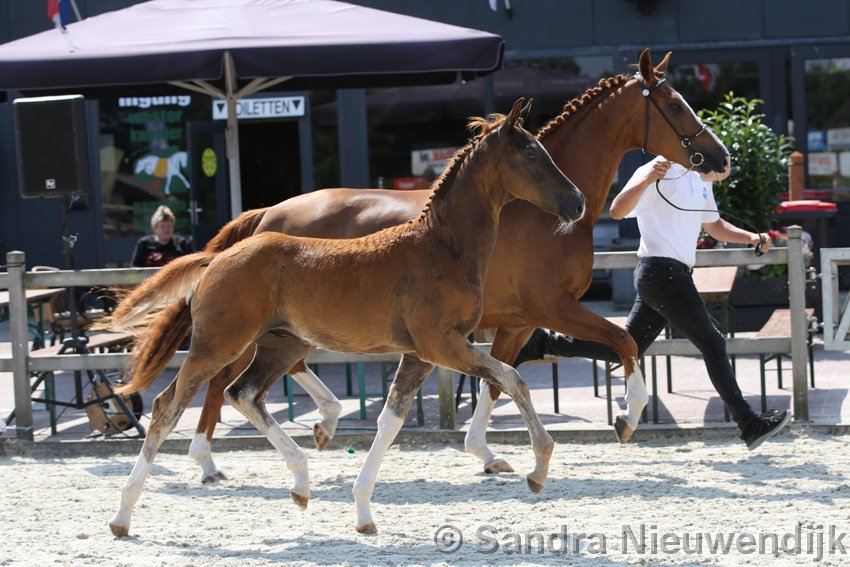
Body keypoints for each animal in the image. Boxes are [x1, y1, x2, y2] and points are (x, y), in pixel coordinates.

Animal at [106, 98, 586, 537]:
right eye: (531, 154)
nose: (578, 202)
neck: (441, 248)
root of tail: (216, 259)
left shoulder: (421, 354)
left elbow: (390, 421)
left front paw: (363, 512)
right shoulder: (443, 344)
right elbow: (512, 377)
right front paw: (539, 468)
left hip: (282, 344)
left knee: (243, 394)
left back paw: (301, 481)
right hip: (217, 344)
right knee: (170, 406)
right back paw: (122, 514)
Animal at [116, 49, 730, 483]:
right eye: (676, 104)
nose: (719, 158)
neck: (526, 213)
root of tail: (270, 213)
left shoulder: (516, 321)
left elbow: (500, 381)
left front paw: (487, 453)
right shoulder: (549, 307)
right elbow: (619, 343)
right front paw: (628, 416)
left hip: (286, 328)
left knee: (253, 377)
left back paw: (307, 428)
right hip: (260, 328)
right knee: (222, 380)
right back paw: (219, 454)